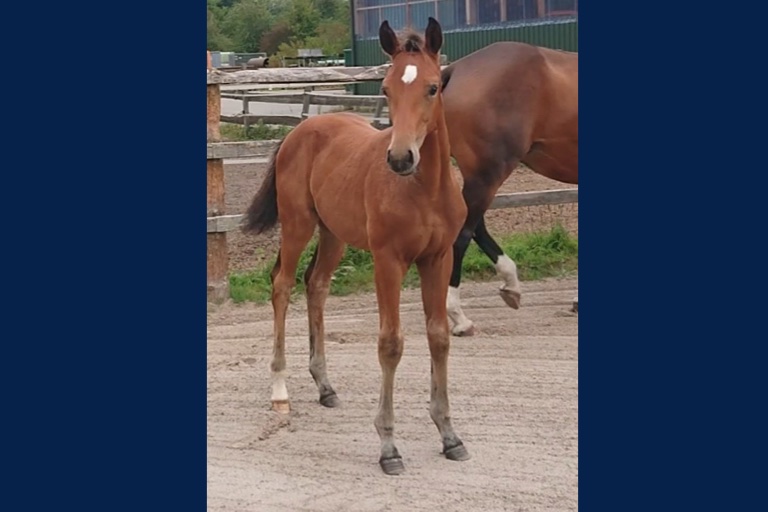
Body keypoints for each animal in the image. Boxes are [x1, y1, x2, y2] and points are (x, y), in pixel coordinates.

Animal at [242, 17, 470, 476]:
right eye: (385, 88)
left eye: (433, 87)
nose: (400, 158)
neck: (424, 190)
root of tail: (297, 131)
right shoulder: (389, 261)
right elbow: (391, 343)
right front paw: (388, 446)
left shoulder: (438, 258)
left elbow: (438, 336)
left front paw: (449, 434)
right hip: (298, 225)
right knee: (282, 285)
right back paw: (280, 390)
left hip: (334, 234)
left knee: (316, 285)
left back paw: (324, 385)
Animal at [438, 41, 579, 336]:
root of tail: (455, 70)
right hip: (487, 174)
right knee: (462, 233)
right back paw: (459, 317)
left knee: (475, 226)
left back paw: (510, 284)